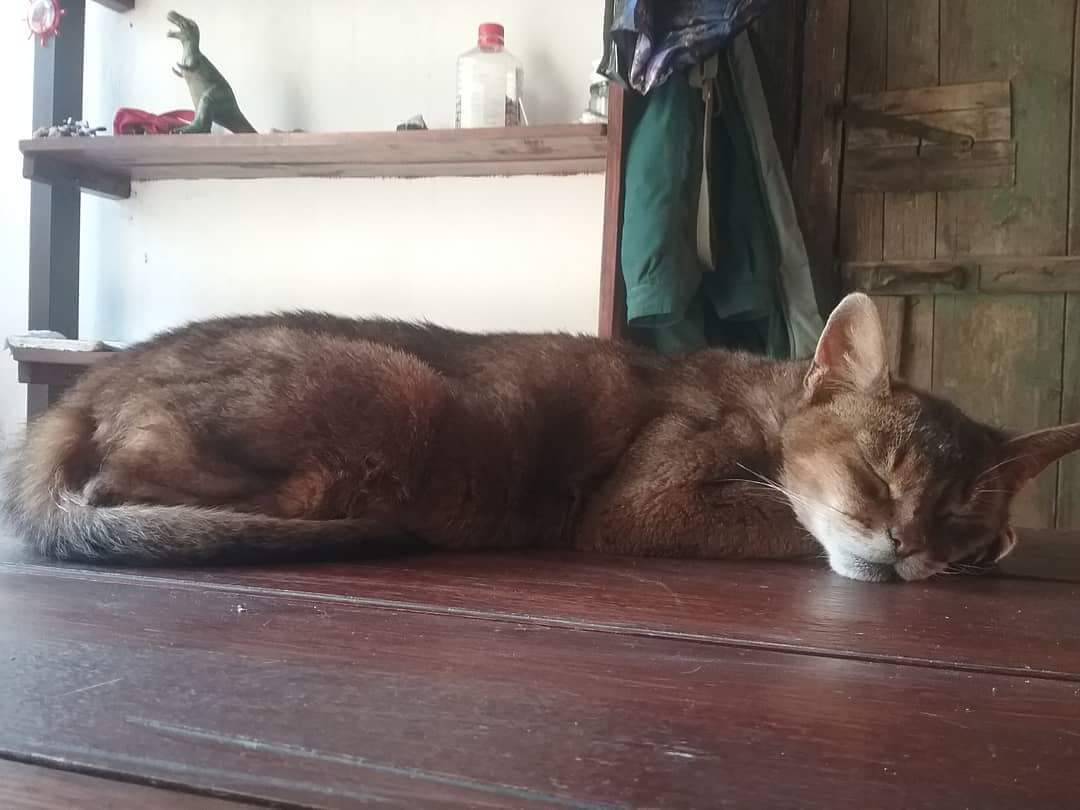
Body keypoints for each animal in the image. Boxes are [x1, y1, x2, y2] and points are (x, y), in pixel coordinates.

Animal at [4, 292, 1079, 583]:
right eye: (875, 474)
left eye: (963, 518)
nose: (909, 548)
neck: (769, 402)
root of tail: (86, 384)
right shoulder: (643, 502)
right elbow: (784, 519)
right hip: (395, 389)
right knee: (108, 489)